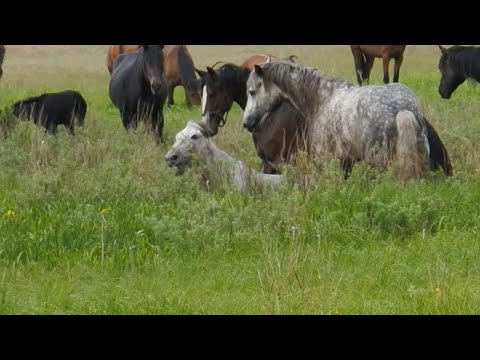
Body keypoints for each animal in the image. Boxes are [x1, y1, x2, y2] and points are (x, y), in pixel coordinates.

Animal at [244, 62, 432, 181]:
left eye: (252, 92)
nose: (246, 123)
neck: (322, 98)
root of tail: (402, 109)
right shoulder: (346, 162)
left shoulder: (326, 161)